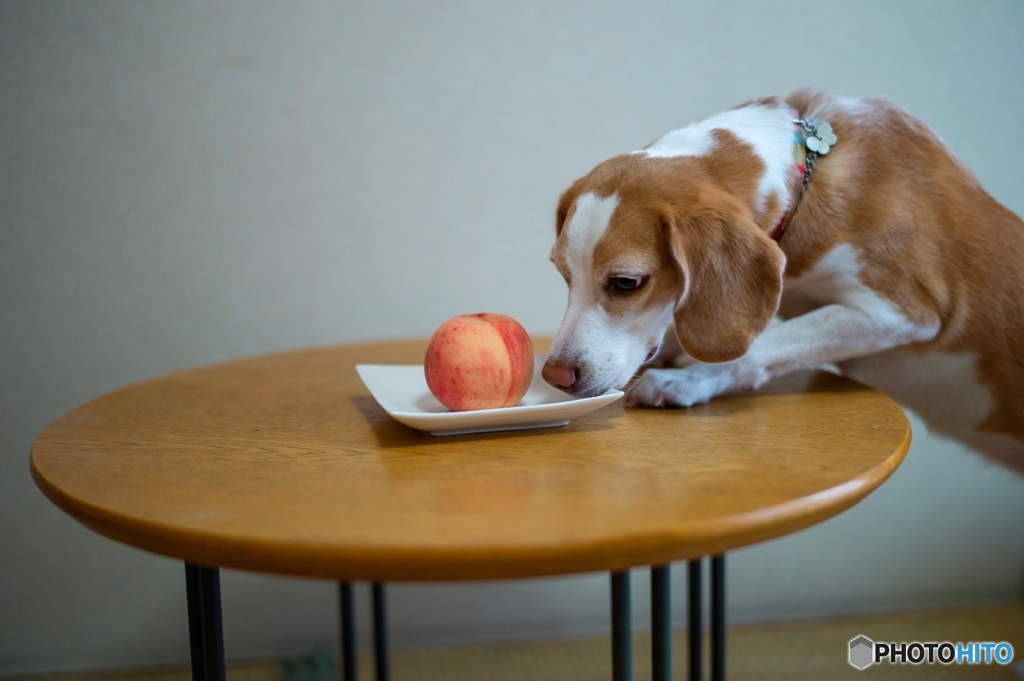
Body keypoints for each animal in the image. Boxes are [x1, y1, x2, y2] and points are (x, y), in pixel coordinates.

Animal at [548, 90, 1024, 473]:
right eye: (564, 274)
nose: (555, 376)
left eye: (626, 283)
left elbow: (760, 345)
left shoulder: (903, 312)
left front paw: (686, 380)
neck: (806, 177)